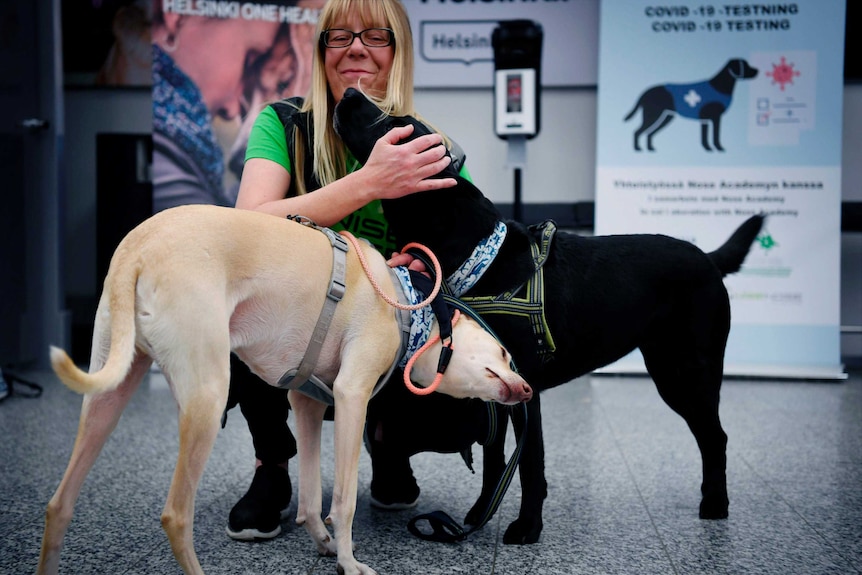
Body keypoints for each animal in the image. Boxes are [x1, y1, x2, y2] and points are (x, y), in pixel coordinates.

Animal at [37, 206, 532, 575]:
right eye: (506, 353)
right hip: (207, 397)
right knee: (175, 515)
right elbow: (344, 500)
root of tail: (136, 249)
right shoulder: (351, 396)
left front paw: (324, 543)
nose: (528, 390)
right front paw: (348, 562)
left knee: (58, 506)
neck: (407, 301)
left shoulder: (307, 403)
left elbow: (312, 498)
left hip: (108, 395)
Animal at [334, 89, 768, 544]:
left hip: (685, 373)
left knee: (715, 436)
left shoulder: (525, 388)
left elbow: (529, 464)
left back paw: (715, 503)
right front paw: (478, 515)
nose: (349, 92)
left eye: (392, 123)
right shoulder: (493, 387)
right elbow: (494, 460)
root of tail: (709, 258)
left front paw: (527, 527)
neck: (480, 256)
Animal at [624, 58, 760, 152]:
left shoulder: (706, 119)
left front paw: (708, 148)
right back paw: (638, 148)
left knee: (649, 133)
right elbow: (715, 135)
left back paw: (650, 148)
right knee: (637, 131)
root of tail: (645, 92)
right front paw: (717, 148)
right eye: (746, 65)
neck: (719, 86)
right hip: (653, 115)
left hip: (666, 117)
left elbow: (705, 136)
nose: (757, 70)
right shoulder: (716, 118)